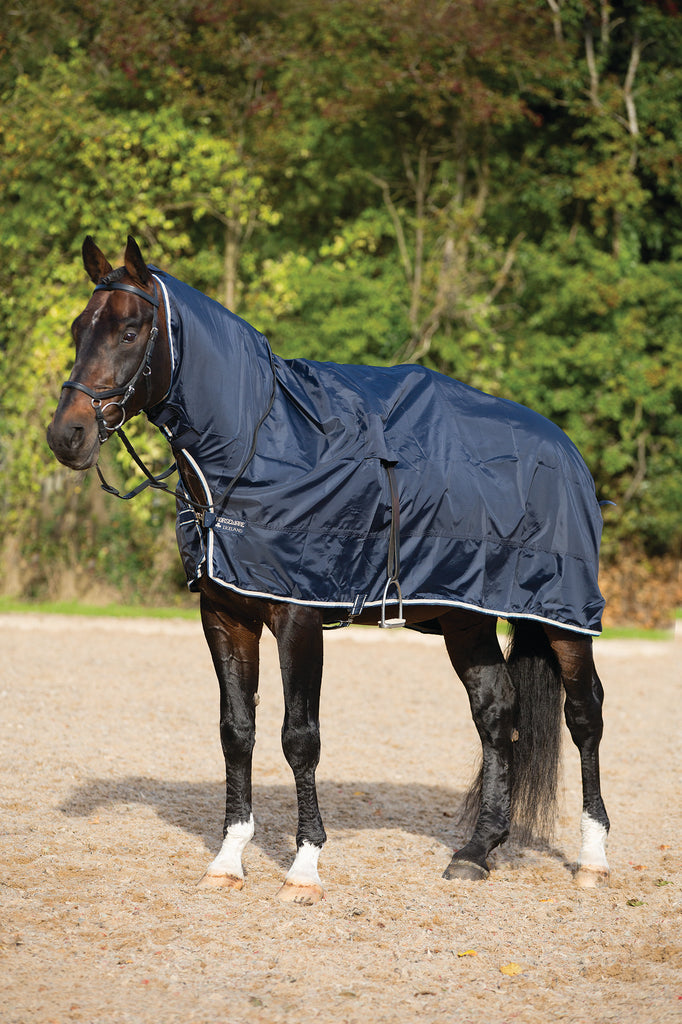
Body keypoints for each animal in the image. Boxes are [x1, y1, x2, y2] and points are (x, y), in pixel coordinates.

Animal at [47, 235, 610, 904]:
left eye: (131, 331)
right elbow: (236, 731)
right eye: (79, 328)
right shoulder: (225, 615)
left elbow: (299, 737)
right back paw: (476, 852)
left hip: (562, 616)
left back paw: (593, 858)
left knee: (585, 715)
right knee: (496, 713)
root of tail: (565, 448)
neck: (259, 442)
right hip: (465, 618)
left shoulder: (298, 616)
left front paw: (304, 867)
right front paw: (228, 858)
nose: (67, 434)